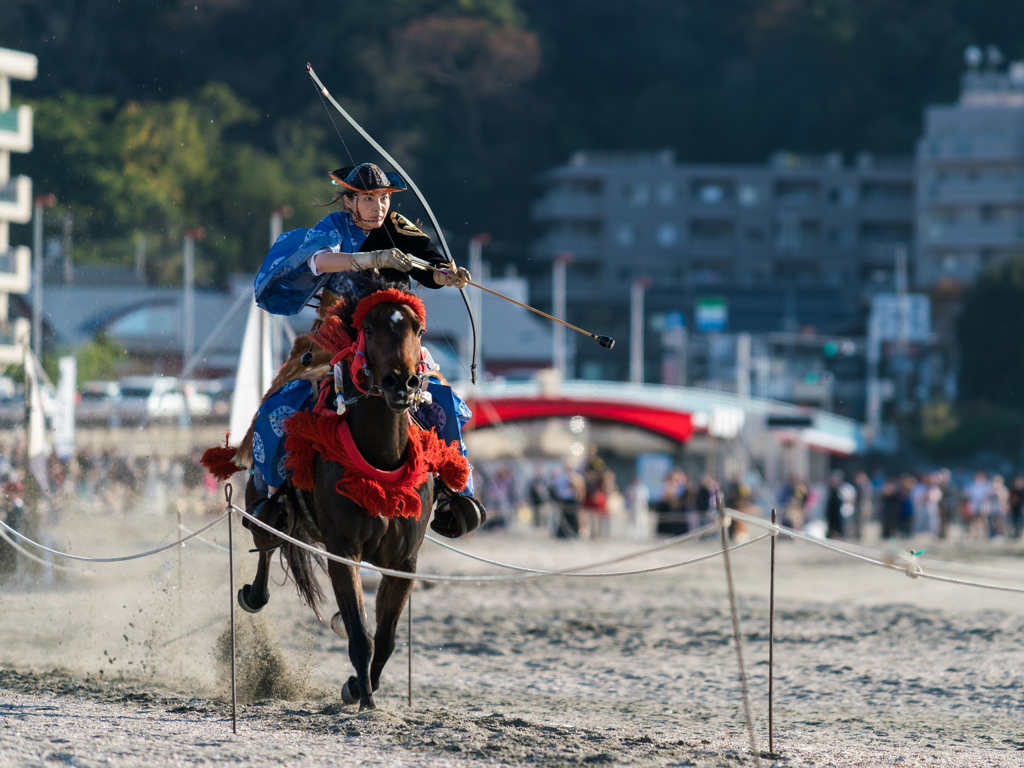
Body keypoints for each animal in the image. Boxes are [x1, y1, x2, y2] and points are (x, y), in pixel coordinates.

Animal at [232, 281, 463, 711]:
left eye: (418, 329)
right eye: (369, 330)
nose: (401, 383)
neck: (381, 456)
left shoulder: (404, 561)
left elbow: (385, 640)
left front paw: (358, 687)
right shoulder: (343, 550)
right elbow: (361, 637)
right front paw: (366, 703)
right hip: (262, 493)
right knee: (267, 539)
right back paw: (254, 595)